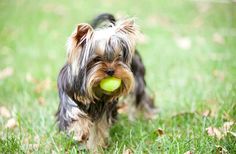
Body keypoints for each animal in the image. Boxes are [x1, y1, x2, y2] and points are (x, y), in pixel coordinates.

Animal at [56, 13, 157, 150]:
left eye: (118, 57)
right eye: (97, 59)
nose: (111, 70)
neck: (94, 89)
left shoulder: (104, 109)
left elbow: (98, 129)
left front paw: (96, 148)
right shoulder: (68, 97)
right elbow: (74, 114)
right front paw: (81, 132)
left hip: (138, 81)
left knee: (141, 99)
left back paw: (149, 116)